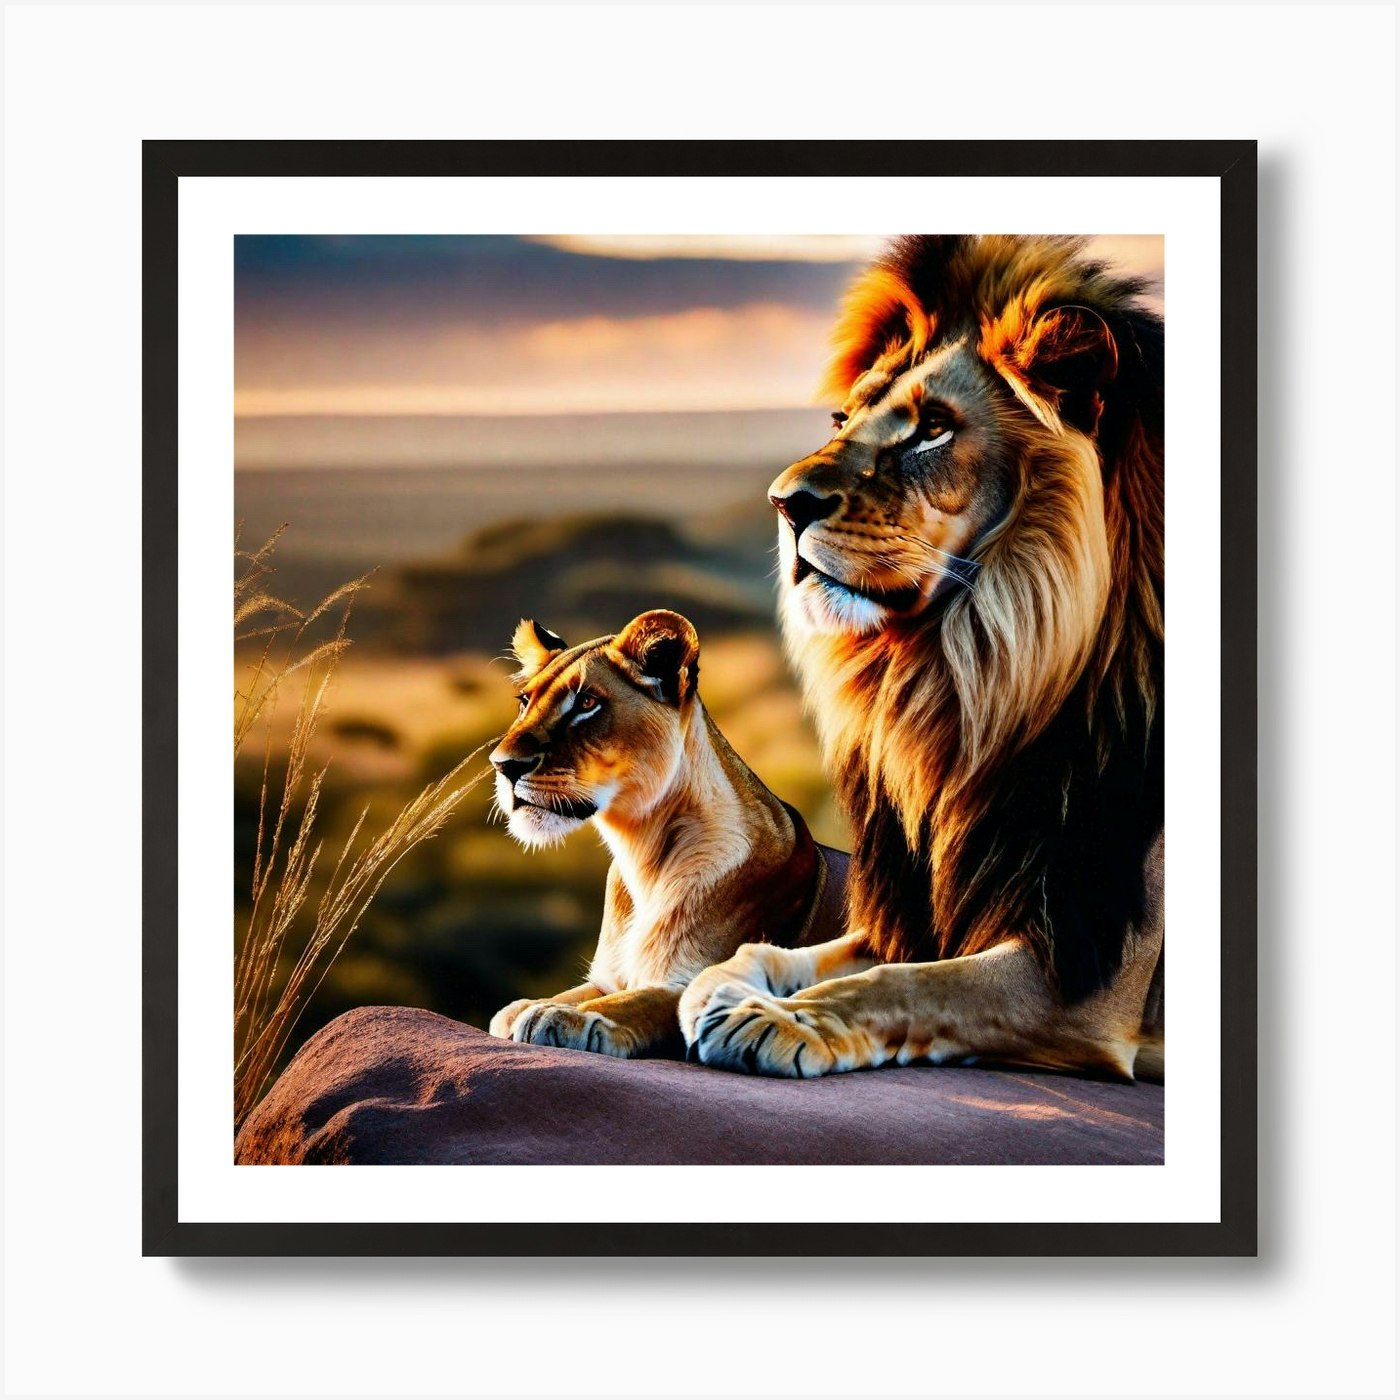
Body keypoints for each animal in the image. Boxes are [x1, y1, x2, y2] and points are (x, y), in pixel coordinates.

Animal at [487, 610, 848, 1058]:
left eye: (587, 703)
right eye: (524, 701)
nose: (503, 764)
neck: (640, 850)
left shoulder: (722, 980)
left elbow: (641, 1002)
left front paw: (563, 1017)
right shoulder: (607, 977)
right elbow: (573, 995)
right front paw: (527, 1006)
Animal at [679, 235, 1165, 1082]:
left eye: (934, 427)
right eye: (843, 417)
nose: (784, 502)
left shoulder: (1086, 981)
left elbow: (906, 984)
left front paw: (778, 1020)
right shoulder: (910, 916)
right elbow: (782, 953)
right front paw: (713, 987)